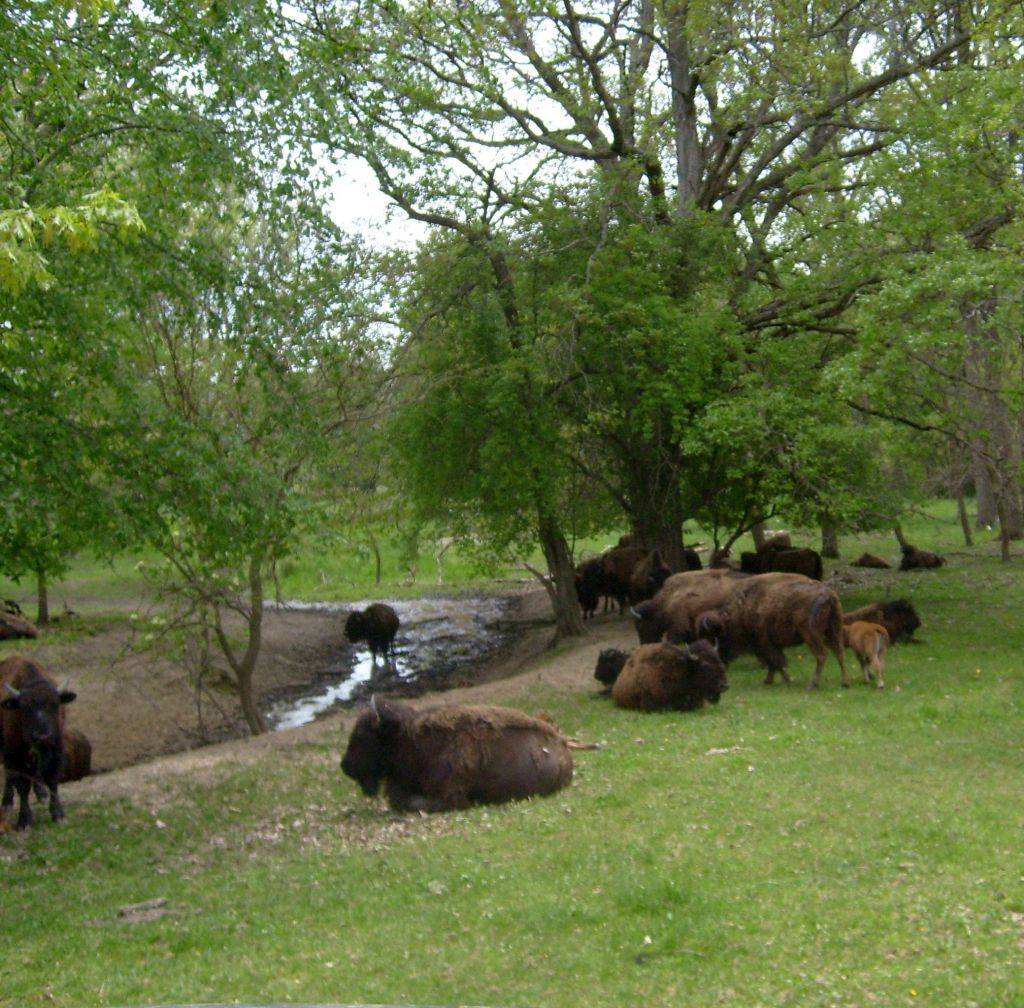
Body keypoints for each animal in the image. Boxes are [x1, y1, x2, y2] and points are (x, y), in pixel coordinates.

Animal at [0, 656, 76, 831]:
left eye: (55, 703)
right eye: (24, 707)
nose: (43, 736)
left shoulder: (56, 749)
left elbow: (52, 780)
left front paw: (58, 815)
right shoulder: (15, 754)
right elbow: (22, 786)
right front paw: (23, 821)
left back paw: (41, 794)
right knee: (9, 775)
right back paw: (6, 801)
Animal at [693, 572, 848, 689]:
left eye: (713, 637)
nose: (719, 662)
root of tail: (828, 595)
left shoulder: (764, 642)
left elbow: (775, 661)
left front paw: (784, 680)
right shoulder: (769, 644)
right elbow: (774, 663)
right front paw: (770, 680)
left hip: (811, 634)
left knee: (822, 655)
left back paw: (812, 684)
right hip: (833, 630)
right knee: (839, 652)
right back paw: (844, 682)